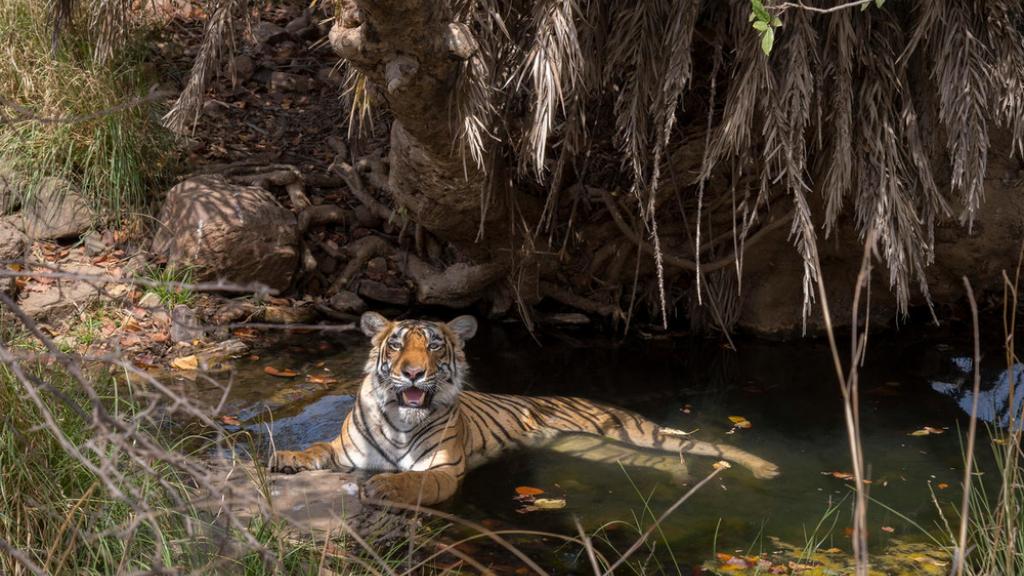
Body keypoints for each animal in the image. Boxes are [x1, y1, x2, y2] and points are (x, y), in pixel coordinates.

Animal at [269, 312, 780, 505]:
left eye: (433, 346)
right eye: (396, 345)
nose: (413, 373)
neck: (399, 419)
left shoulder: (444, 469)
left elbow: (416, 481)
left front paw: (387, 487)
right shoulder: (345, 451)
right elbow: (316, 450)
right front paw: (284, 458)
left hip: (632, 432)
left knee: (708, 445)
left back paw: (766, 468)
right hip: (596, 449)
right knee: (661, 460)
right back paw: (679, 479)